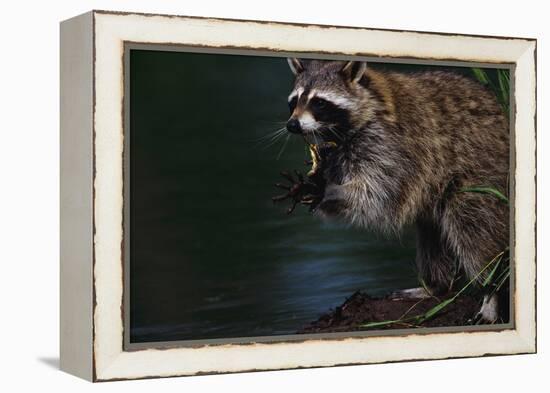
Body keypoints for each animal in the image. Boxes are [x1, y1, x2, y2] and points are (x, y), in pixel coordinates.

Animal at [282, 58, 512, 322]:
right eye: (294, 101)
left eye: (319, 102)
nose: (292, 125)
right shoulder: (340, 151)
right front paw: (317, 182)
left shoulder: (392, 144)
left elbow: (379, 193)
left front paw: (331, 190)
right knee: (431, 232)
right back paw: (436, 285)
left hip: (481, 175)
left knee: (473, 227)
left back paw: (491, 291)